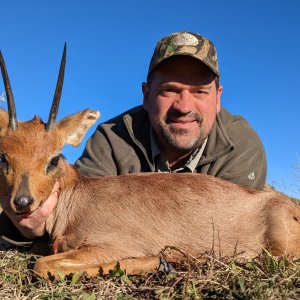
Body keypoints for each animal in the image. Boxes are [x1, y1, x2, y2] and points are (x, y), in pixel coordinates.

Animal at [0, 46, 300, 278]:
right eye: (4, 157)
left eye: (52, 159)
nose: (22, 202)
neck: (76, 200)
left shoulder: (110, 246)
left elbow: (42, 265)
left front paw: (160, 261)